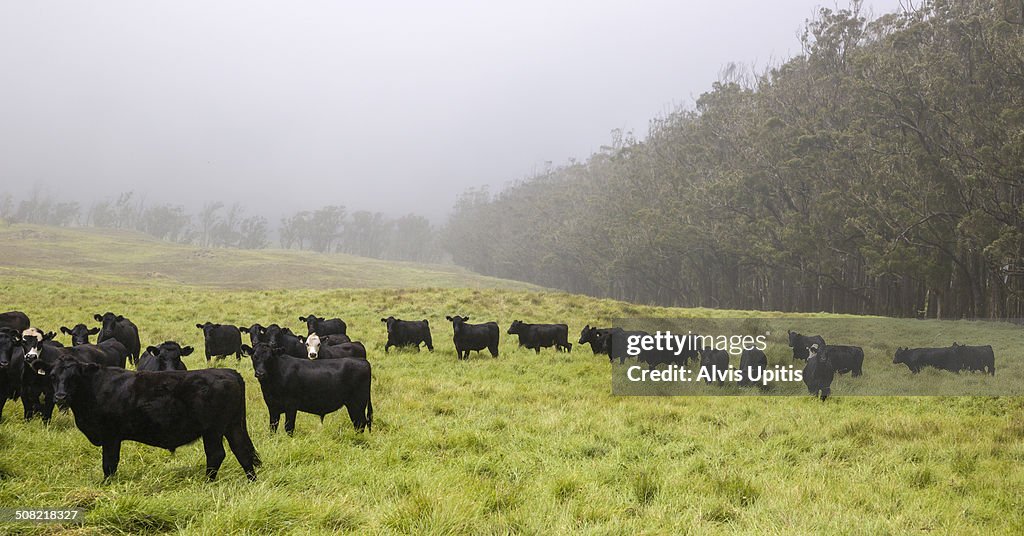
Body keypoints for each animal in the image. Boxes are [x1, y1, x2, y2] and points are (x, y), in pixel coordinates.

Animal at [50, 358, 262, 479]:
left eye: (74, 376)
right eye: (53, 376)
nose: (60, 396)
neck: (95, 387)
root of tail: (228, 372)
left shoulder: (111, 436)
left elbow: (109, 464)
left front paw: (107, 484)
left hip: (213, 430)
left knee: (216, 454)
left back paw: (208, 482)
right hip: (233, 426)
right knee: (242, 451)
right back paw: (251, 481)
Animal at [241, 344, 374, 436]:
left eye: (269, 358)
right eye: (254, 357)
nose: (260, 373)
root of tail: (362, 360)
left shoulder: (291, 405)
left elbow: (289, 428)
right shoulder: (272, 406)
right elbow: (272, 427)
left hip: (357, 403)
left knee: (360, 423)